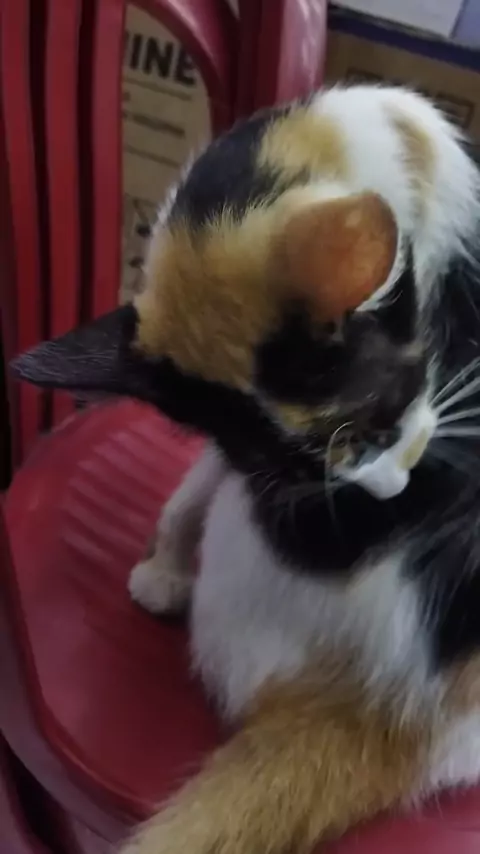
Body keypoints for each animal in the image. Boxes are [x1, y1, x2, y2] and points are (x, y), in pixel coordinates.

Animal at [13, 84, 480, 854]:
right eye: (289, 476)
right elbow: (208, 473)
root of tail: (402, 707)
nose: (392, 492)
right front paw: (165, 561)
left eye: (380, 420)